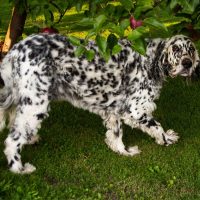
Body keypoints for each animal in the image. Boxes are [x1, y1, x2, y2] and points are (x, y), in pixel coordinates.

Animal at [0, 33, 198, 173]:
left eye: (191, 50)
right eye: (176, 49)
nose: (188, 64)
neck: (151, 60)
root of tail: (16, 49)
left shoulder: (115, 110)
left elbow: (116, 136)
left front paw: (123, 152)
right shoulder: (135, 110)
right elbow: (157, 126)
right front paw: (167, 139)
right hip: (36, 104)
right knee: (12, 140)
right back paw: (20, 169)